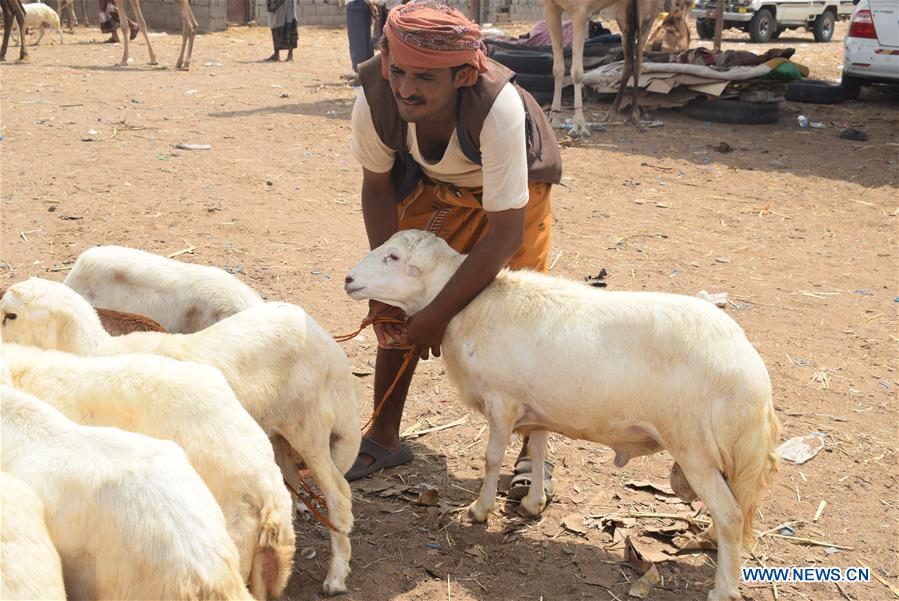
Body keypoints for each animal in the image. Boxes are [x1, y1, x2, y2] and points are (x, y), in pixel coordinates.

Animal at [344, 229, 780, 600]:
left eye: (394, 257)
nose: (348, 279)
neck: (470, 308)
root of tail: (754, 372)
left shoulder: (502, 402)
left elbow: (491, 458)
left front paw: (479, 511)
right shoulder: (537, 409)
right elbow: (537, 452)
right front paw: (533, 504)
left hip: (694, 447)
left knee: (730, 513)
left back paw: (723, 588)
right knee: (733, 509)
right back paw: (710, 543)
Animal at [540, 0, 660, 132]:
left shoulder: (580, 13)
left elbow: (577, 72)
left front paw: (579, 125)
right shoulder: (550, 9)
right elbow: (558, 69)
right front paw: (554, 118)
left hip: (646, 12)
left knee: (638, 58)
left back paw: (634, 116)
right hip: (623, 12)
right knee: (629, 58)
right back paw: (611, 113)